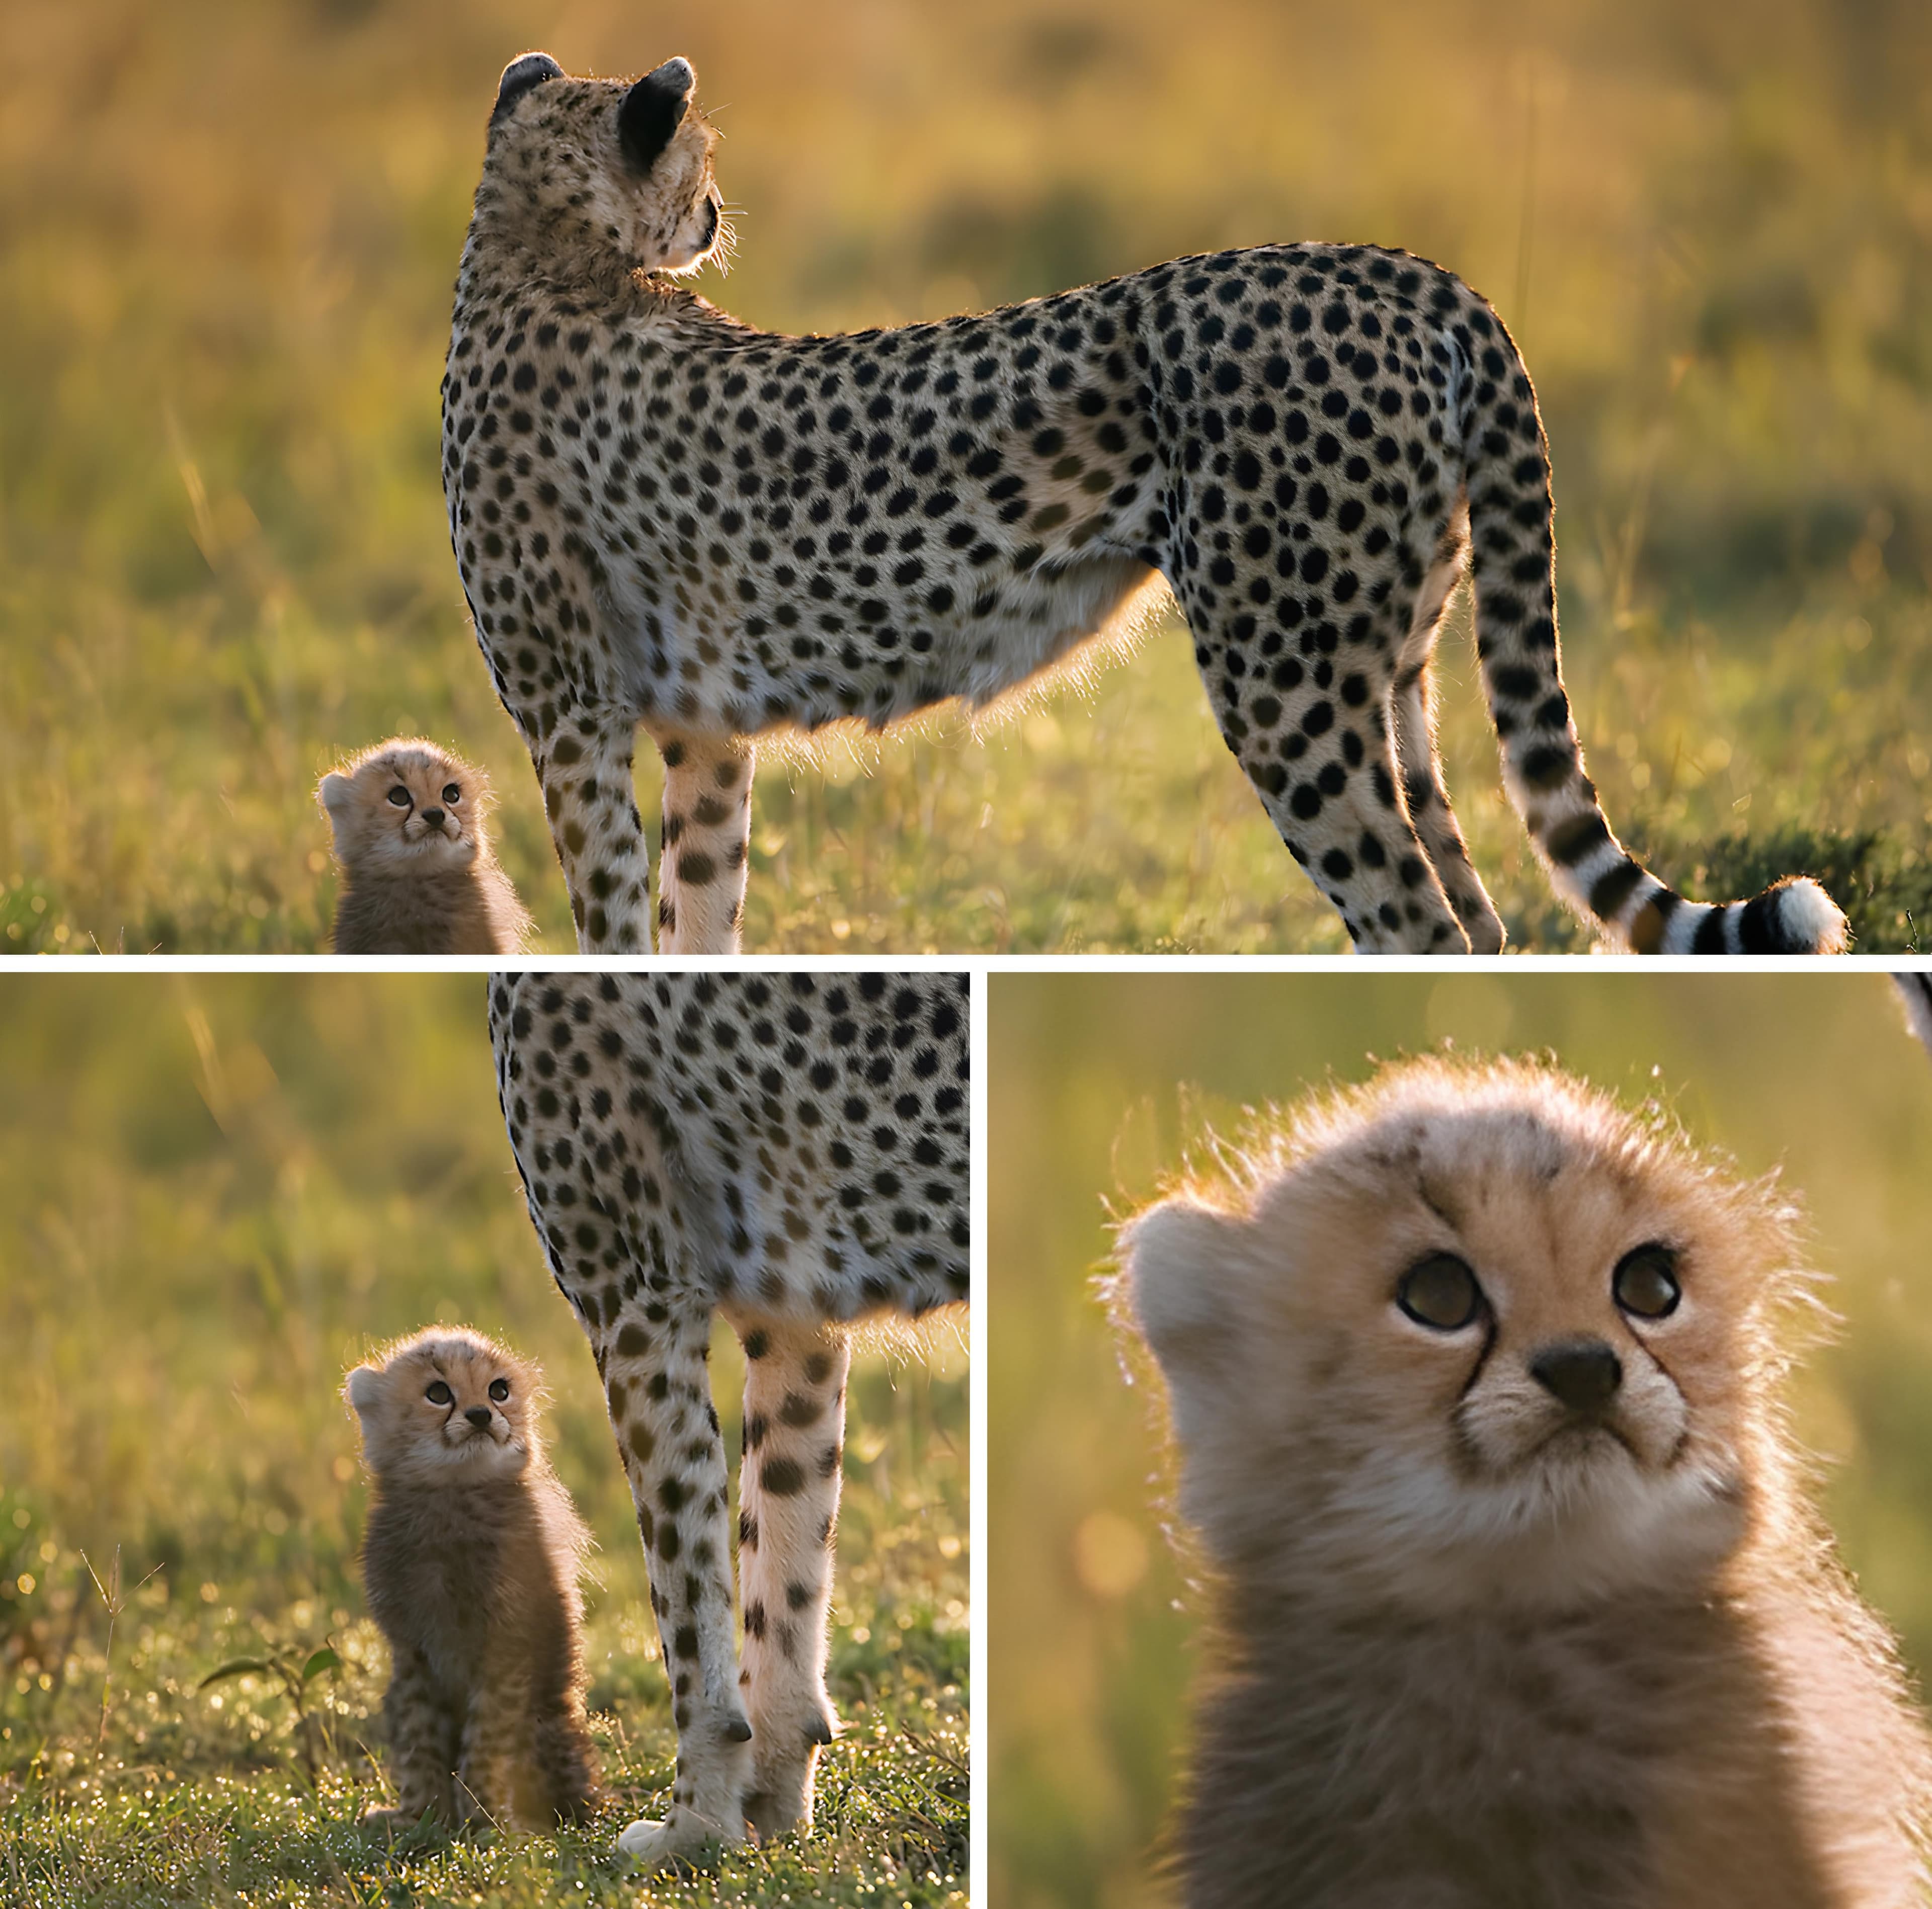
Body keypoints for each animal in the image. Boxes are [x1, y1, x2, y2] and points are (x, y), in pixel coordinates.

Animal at [442, 50, 1847, 957]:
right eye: (700, 161)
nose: (717, 210)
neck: (531, 252)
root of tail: (1403, 269)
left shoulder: (574, 716)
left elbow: (619, 926)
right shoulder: (699, 729)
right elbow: (693, 920)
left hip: (1283, 681)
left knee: (1414, 919)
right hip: (1397, 671)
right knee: (1480, 911)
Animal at [487, 969, 969, 1868]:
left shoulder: (639, 1301)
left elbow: (686, 1589)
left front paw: (694, 1825)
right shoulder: (794, 1315)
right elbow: (785, 1558)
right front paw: (772, 1802)